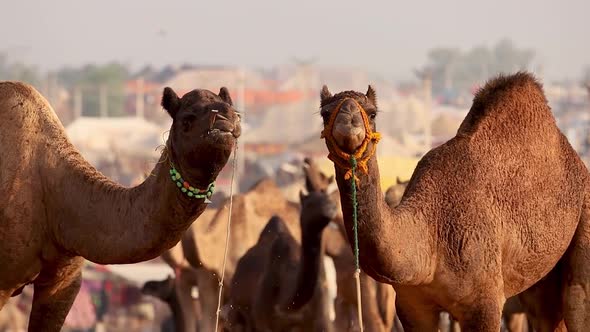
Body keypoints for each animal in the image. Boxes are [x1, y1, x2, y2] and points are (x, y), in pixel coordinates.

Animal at [227, 187, 338, 332]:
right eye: (309, 203)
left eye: (329, 199)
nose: (331, 208)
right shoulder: (263, 321)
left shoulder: (321, 317)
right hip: (239, 313)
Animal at [320, 71, 590, 330]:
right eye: (324, 113)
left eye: (372, 112)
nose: (349, 120)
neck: (430, 235)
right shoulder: (411, 306)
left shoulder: (484, 303)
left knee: (577, 300)